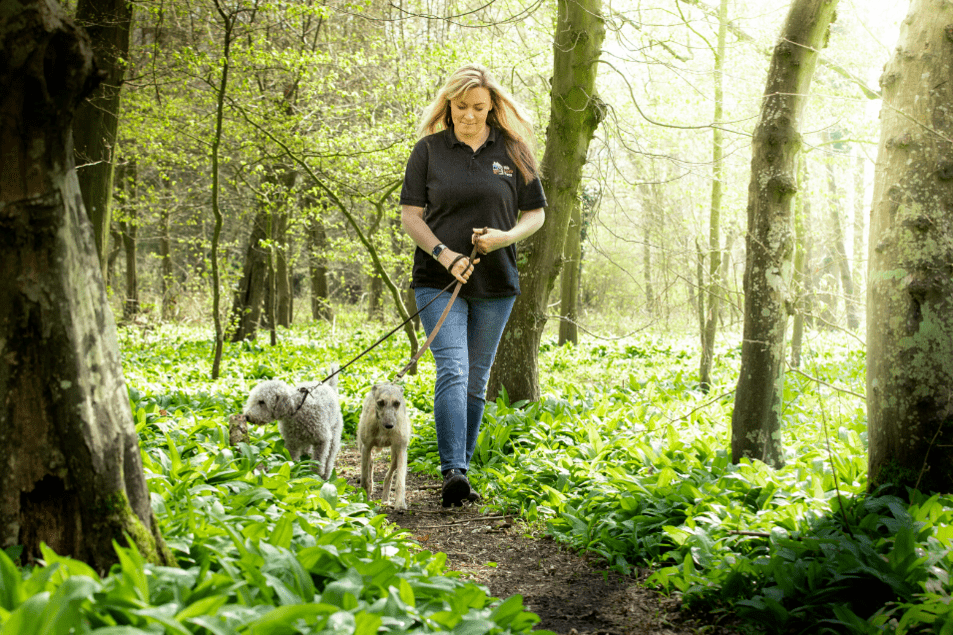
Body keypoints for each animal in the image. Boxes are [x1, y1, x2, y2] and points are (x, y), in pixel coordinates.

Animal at [356, 382, 410, 512]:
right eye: (380, 402)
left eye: (397, 403)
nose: (389, 425)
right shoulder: (366, 447)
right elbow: (364, 479)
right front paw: (364, 501)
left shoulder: (401, 450)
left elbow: (400, 481)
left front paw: (400, 504)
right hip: (363, 449)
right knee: (370, 465)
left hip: (395, 455)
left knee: (388, 476)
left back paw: (385, 499)